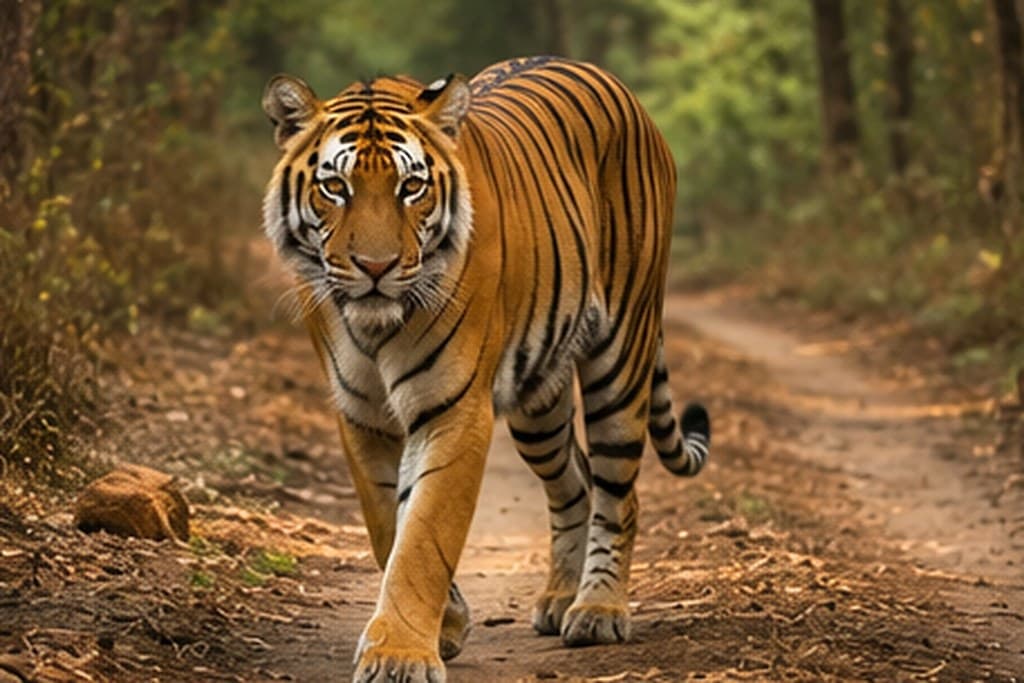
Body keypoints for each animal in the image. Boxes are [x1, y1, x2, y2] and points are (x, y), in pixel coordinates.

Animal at [261, 56, 711, 683]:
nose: (375, 267)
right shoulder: (361, 415)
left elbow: (424, 536)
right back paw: (559, 598)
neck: (374, 326)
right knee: (574, 481)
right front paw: (442, 628)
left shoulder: (453, 409)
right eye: (335, 187)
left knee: (619, 491)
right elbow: (388, 527)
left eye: (411, 187)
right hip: (539, 400)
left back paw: (597, 610)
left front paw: (401, 653)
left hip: (622, 356)